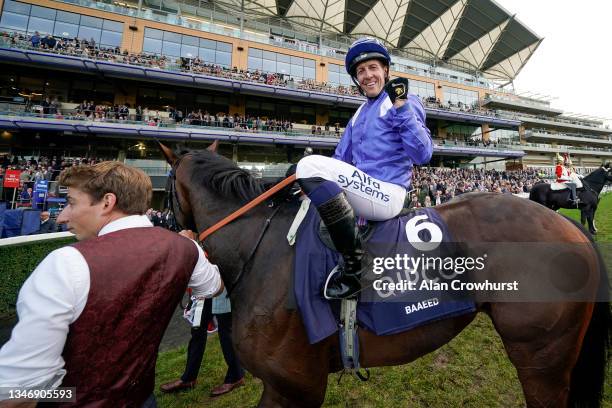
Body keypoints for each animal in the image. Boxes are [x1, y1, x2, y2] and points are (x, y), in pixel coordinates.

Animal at [160, 142, 608, 406]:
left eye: (167, 192)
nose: (172, 230)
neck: (260, 247)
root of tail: (571, 229)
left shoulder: (294, 384)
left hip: (541, 357)